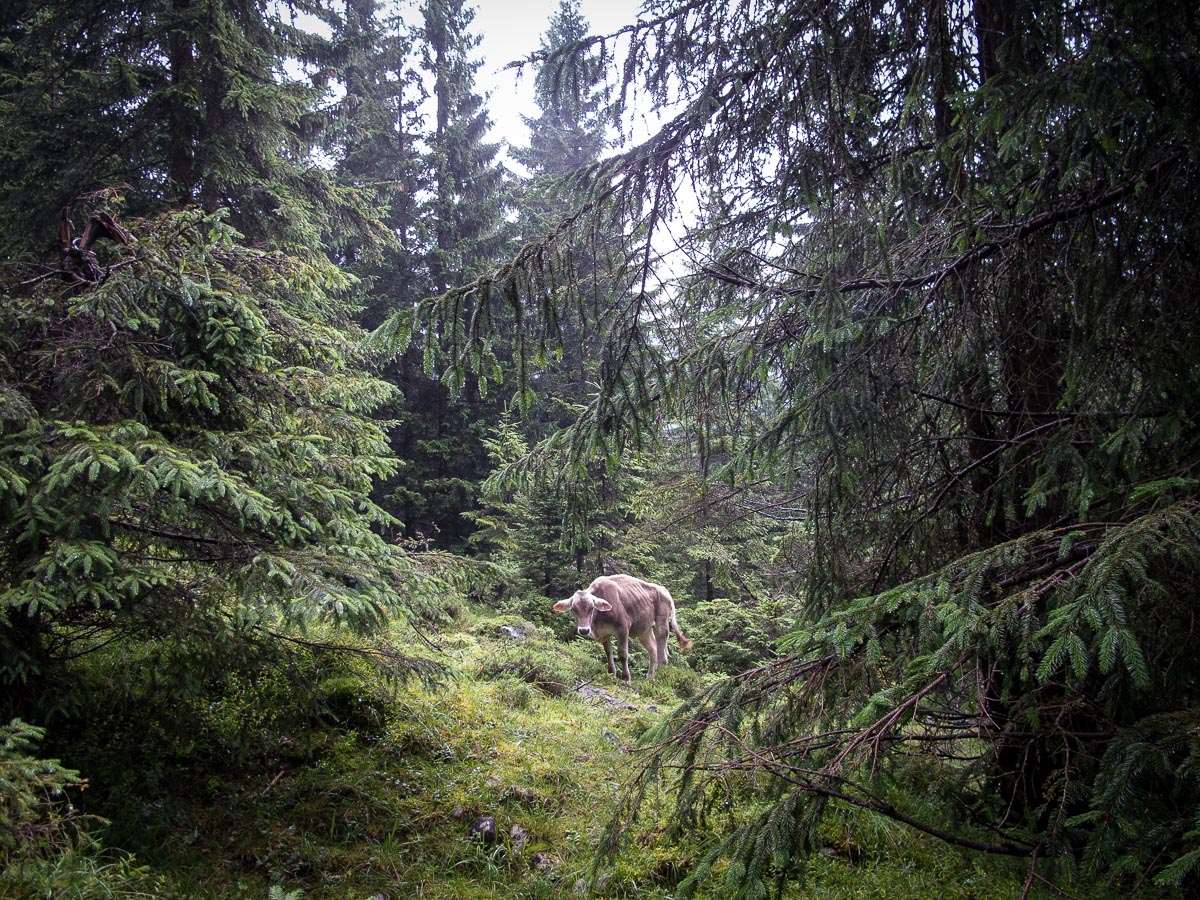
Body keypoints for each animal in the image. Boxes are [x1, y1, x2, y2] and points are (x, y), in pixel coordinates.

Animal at [554, 578, 696, 681]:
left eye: (592, 608)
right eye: (573, 609)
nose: (584, 630)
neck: (598, 621)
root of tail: (663, 589)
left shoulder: (623, 628)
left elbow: (622, 654)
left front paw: (626, 678)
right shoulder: (605, 634)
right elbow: (608, 653)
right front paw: (611, 673)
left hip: (661, 624)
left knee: (663, 654)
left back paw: (661, 677)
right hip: (644, 630)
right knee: (653, 650)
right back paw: (649, 678)